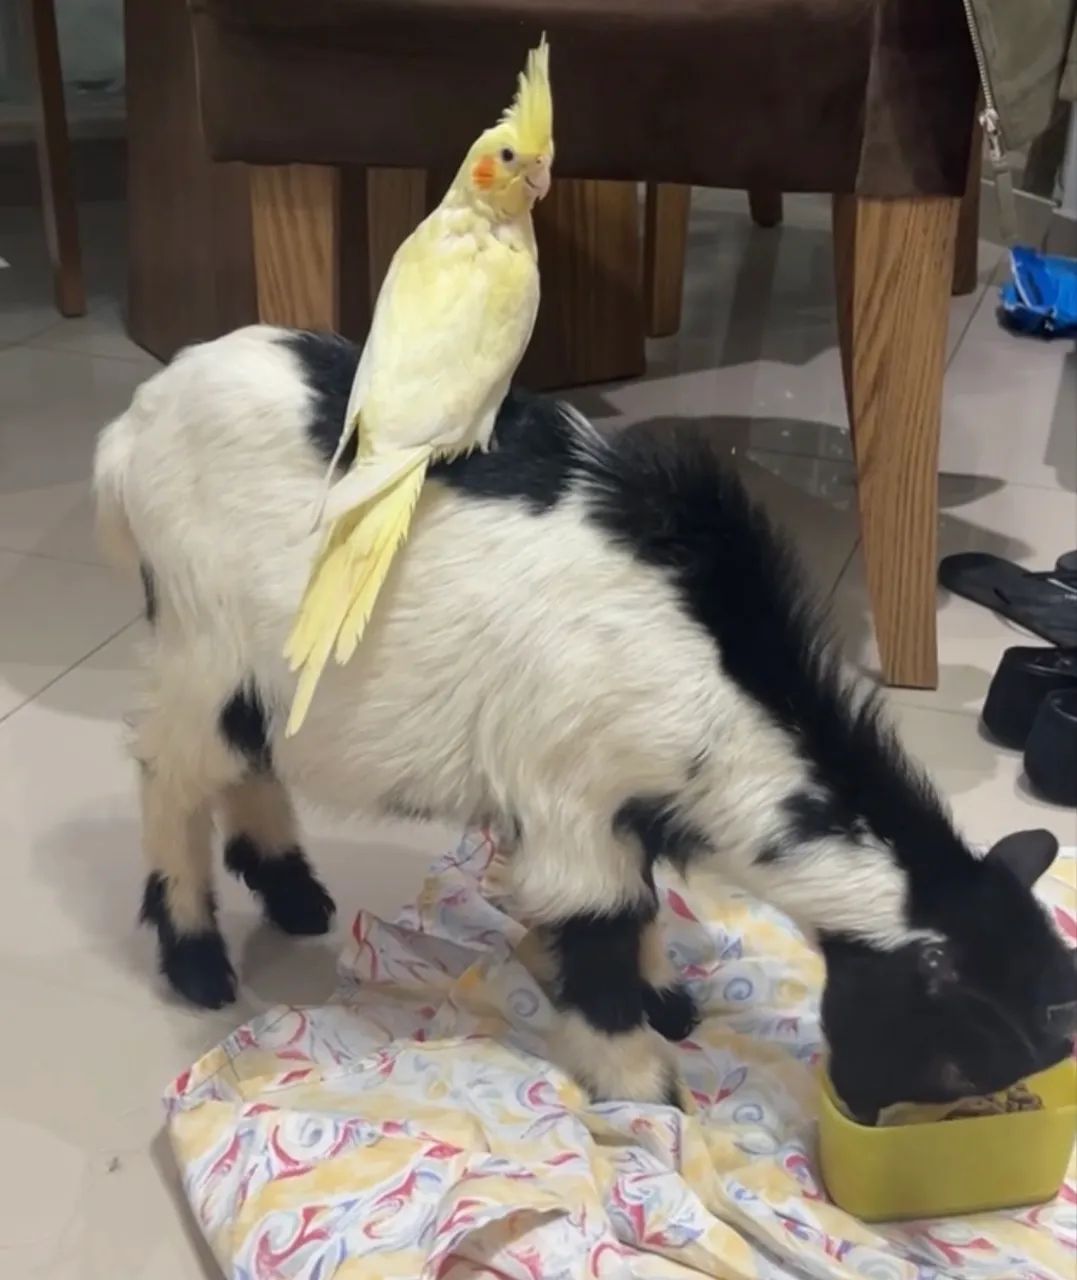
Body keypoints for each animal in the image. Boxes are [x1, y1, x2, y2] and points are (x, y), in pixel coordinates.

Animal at [94, 326, 1076, 1120]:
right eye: (958, 1058)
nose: (864, 1109)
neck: (716, 666)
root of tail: (134, 423)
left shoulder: (621, 802)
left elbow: (632, 909)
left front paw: (660, 996)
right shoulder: (574, 798)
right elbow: (600, 923)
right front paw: (642, 1080)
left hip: (253, 661)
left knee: (247, 760)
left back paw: (294, 893)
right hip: (205, 636)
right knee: (168, 767)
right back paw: (195, 956)